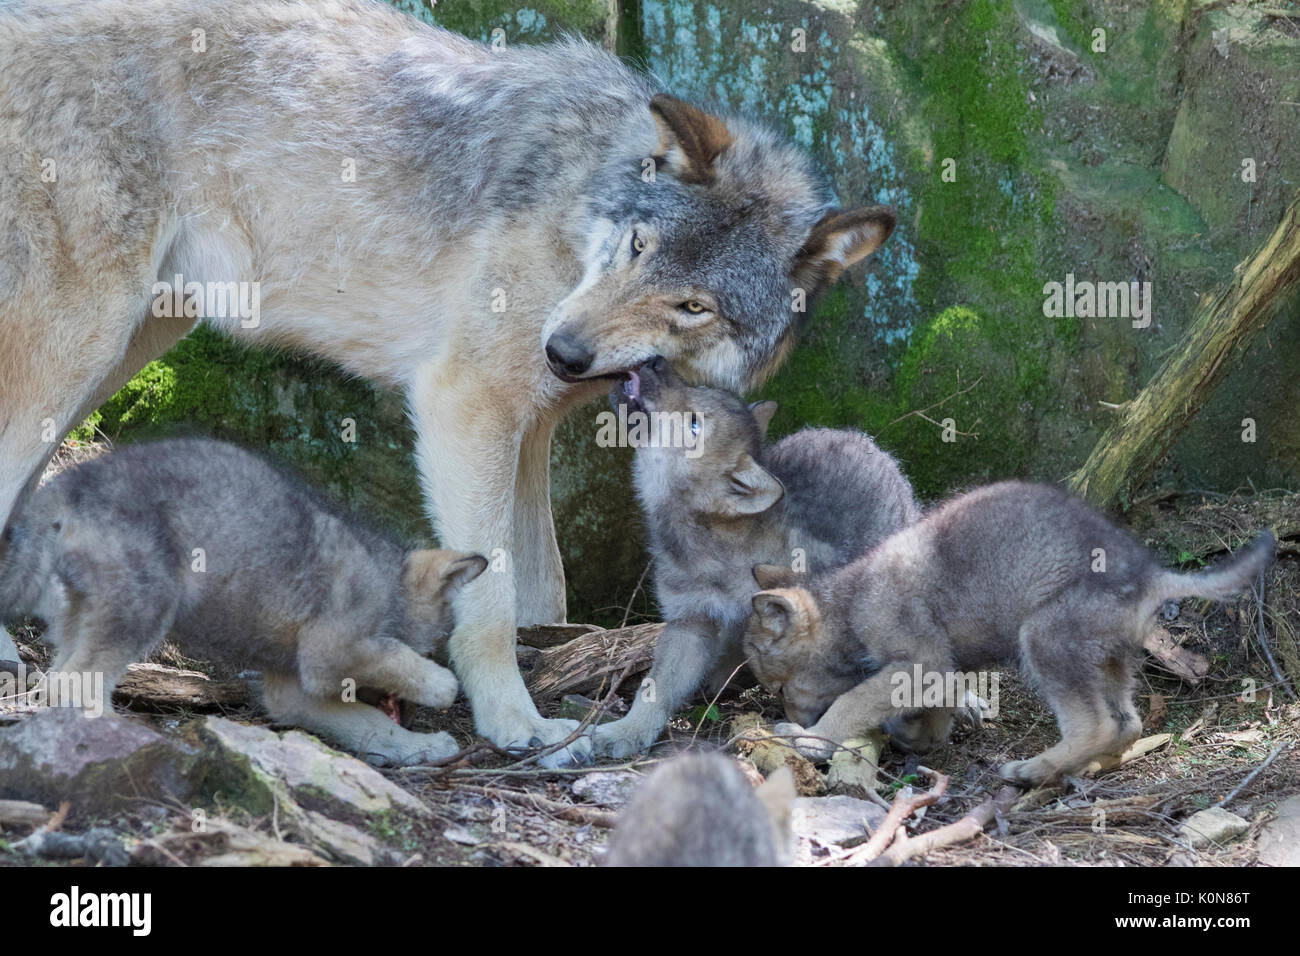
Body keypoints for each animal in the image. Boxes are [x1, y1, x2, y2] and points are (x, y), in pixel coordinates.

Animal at [0, 437, 486, 764]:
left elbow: (367, 722)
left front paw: (418, 746)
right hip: (145, 608)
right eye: (429, 647)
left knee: (57, 681)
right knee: (76, 683)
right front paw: (441, 686)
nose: (414, 718)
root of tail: (68, 485)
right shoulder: (330, 653)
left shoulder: (292, 689)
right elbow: (396, 665)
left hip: (83, 615)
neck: (388, 583)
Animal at [590, 356, 915, 759]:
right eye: (697, 388)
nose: (655, 361)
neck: (711, 548)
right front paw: (628, 731)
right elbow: (657, 687)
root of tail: (857, 436)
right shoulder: (690, 622)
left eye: (694, 423)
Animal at [743, 481, 1268, 790]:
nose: (787, 713)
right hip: (1109, 662)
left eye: (779, 687)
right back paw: (1079, 767)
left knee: (1094, 725)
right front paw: (918, 736)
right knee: (1128, 724)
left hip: (1042, 640)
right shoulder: (939, 668)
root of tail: (1149, 575)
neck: (850, 602)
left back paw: (1032, 771)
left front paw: (809, 739)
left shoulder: (920, 661)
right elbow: (937, 708)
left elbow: (850, 701)